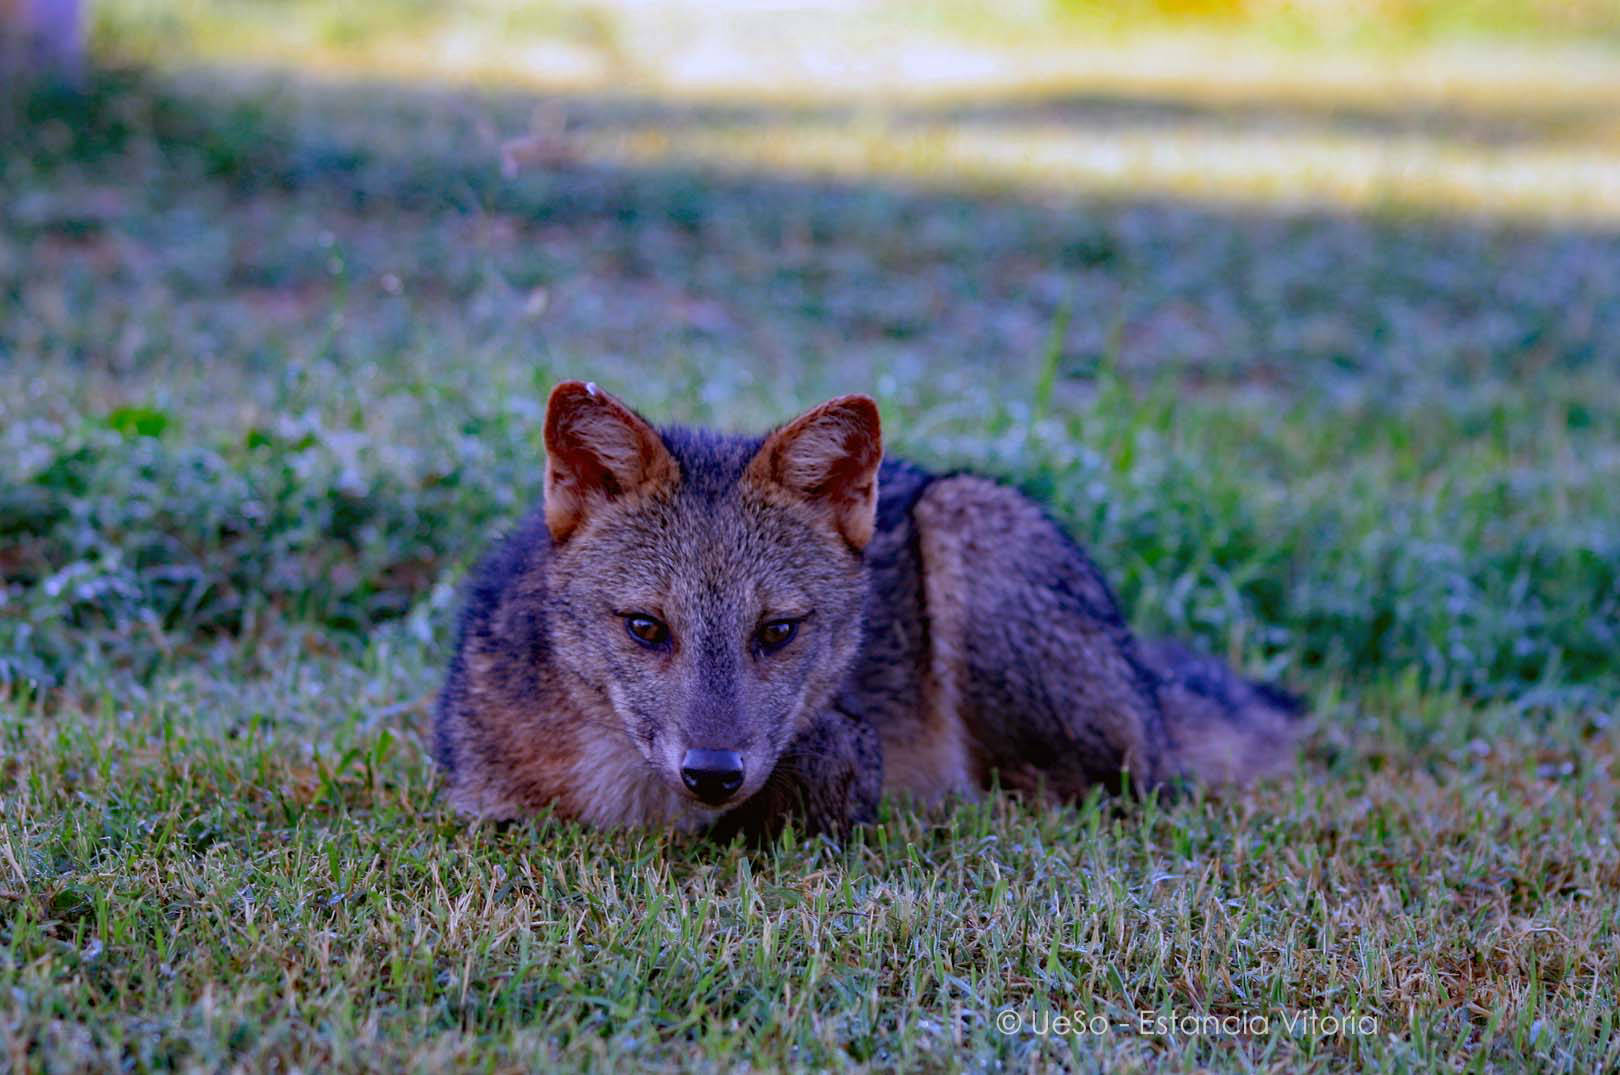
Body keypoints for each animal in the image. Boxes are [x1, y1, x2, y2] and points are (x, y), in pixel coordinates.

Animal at [434, 382, 1302, 841]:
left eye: (777, 632)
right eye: (647, 628)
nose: (713, 773)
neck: (635, 804)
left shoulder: (849, 762)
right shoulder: (482, 802)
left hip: (971, 523)